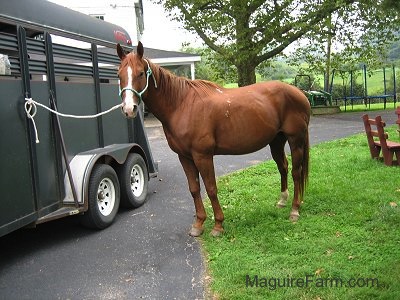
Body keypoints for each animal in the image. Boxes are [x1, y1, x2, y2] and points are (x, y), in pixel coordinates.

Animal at [117, 42, 310, 238]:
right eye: (119, 75)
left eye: (141, 73)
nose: (129, 109)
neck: (182, 105)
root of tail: (299, 93)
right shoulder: (184, 157)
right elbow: (194, 189)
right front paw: (198, 224)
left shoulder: (203, 155)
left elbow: (211, 188)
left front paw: (218, 225)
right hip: (276, 141)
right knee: (283, 167)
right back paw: (282, 201)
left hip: (296, 140)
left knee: (296, 171)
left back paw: (294, 210)